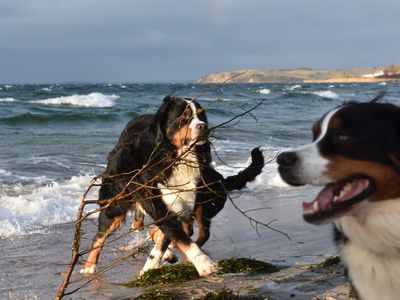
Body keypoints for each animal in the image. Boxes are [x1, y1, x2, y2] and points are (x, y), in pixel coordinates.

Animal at [79, 95, 264, 276]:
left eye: (202, 116)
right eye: (184, 117)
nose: (203, 127)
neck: (178, 160)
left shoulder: (179, 206)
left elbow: (173, 237)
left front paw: (152, 265)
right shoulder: (160, 205)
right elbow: (178, 236)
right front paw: (204, 264)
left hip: (204, 207)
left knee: (197, 233)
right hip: (116, 205)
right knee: (100, 236)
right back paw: (89, 267)